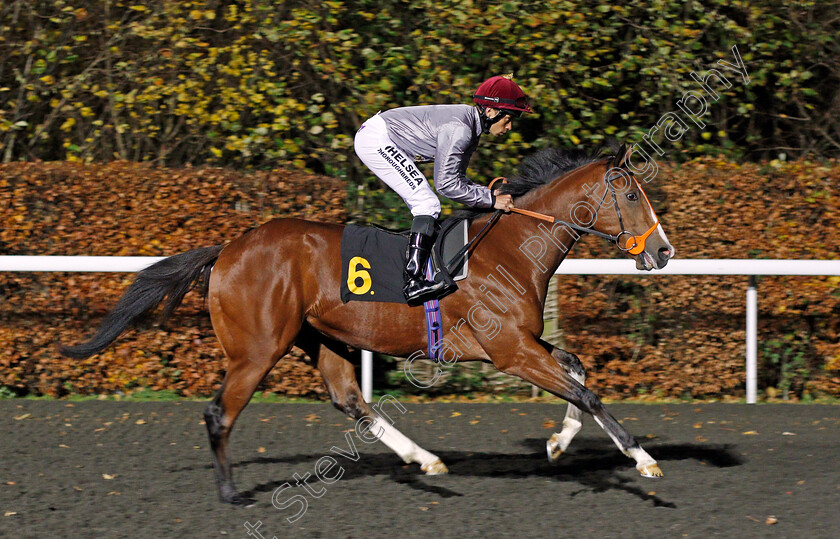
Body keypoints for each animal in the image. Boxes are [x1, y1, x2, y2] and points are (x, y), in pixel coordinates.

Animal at [60, 143, 676, 506]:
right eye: (629, 193)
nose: (664, 251)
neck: (511, 248)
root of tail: (228, 249)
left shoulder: (522, 342)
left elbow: (575, 369)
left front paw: (556, 443)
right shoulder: (509, 349)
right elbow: (586, 390)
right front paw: (643, 461)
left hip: (321, 338)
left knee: (351, 401)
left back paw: (424, 459)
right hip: (257, 349)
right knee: (219, 413)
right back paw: (232, 493)